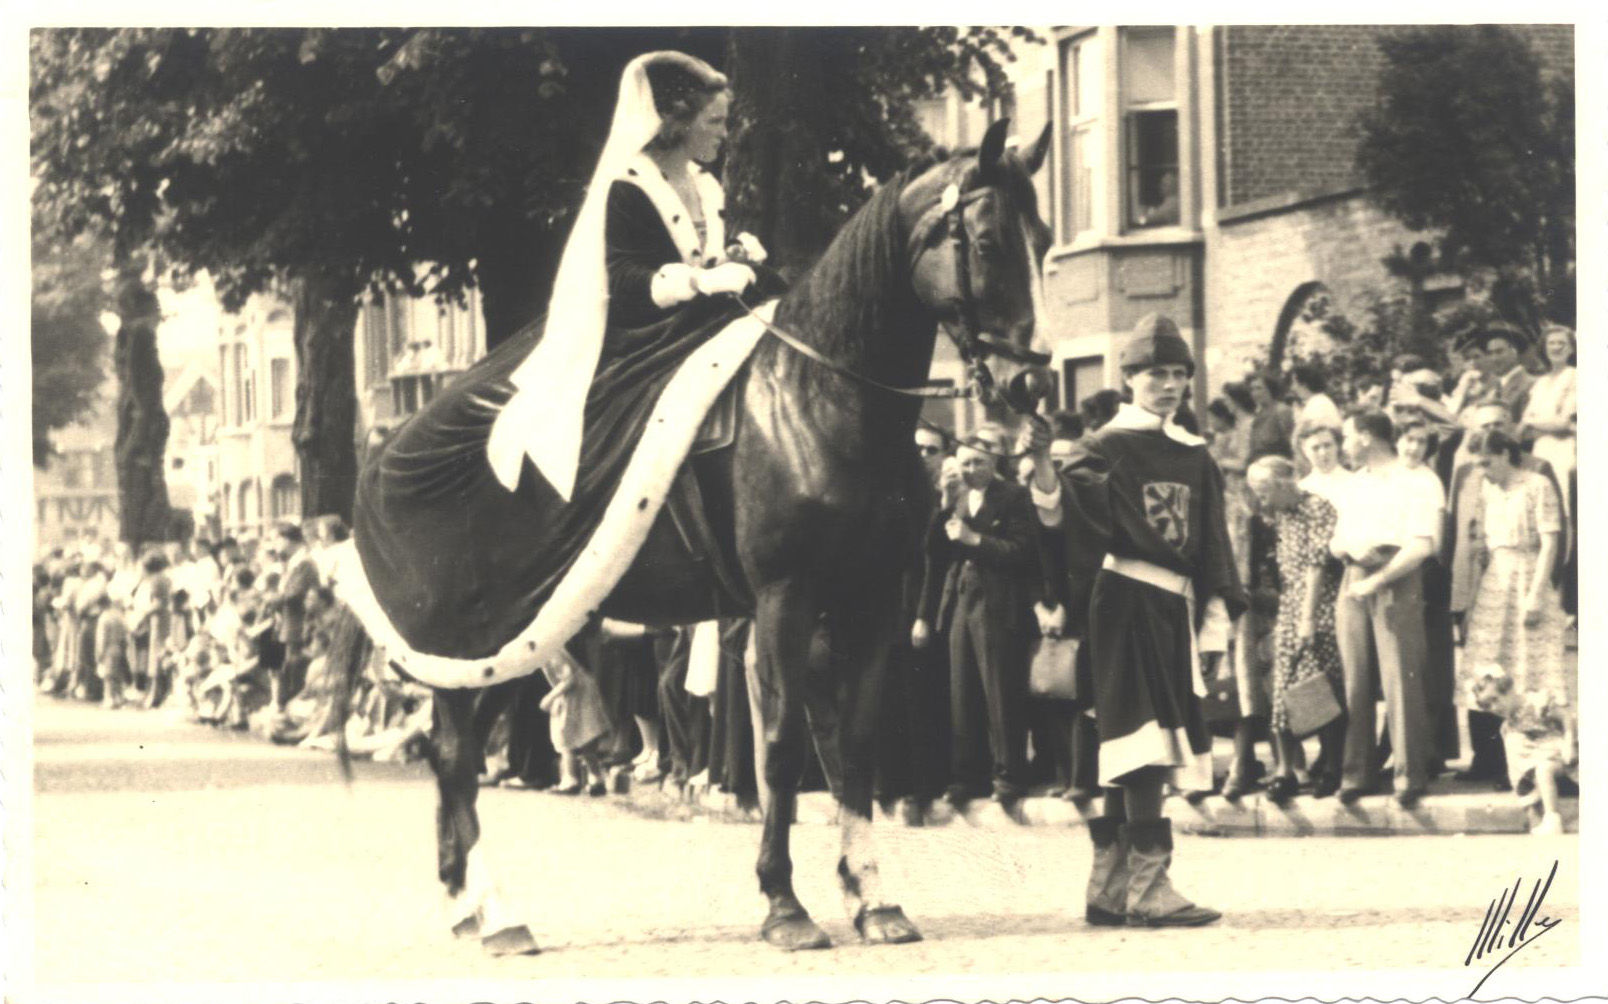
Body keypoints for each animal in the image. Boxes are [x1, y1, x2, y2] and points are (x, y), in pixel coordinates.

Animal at [326, 119, 1054, 958]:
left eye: (1045, 237)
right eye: (989, 239)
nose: (1035, 382)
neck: (821, 401)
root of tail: (385, 450)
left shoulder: (871, 599)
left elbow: (855, 746)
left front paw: (874, 900)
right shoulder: (784, 598)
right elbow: (780, 747)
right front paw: (785, 904)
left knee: (460, 756)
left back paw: (467, 906)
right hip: (478, 639)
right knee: (455, 755)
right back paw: (498, 913)